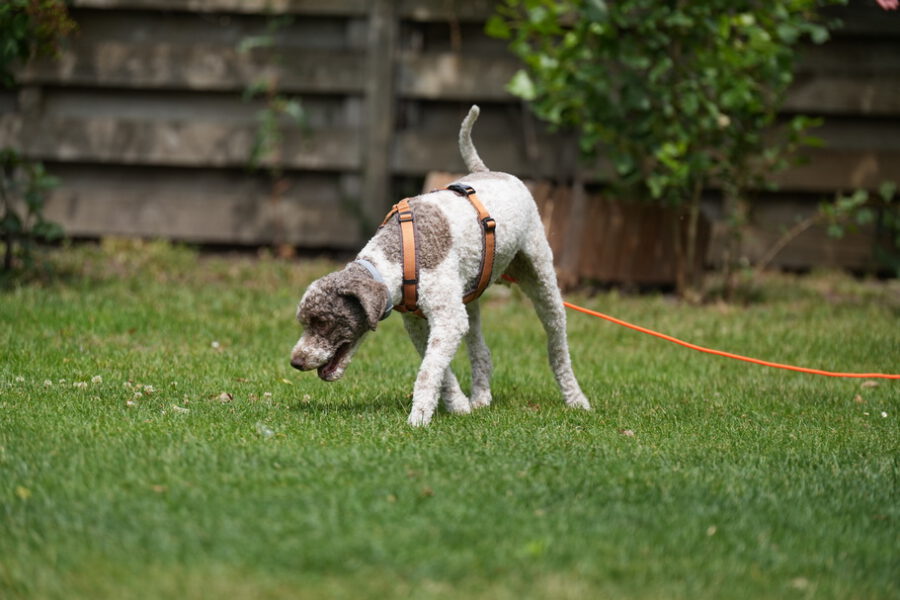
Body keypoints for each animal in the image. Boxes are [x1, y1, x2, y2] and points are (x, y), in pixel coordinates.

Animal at [290, 105, 592, 424]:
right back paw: (480, 399)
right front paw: (458, 406)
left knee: (558, 347)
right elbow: (438, 368)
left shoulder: (447, 318)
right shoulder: (421, 323)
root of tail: (489, 172)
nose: (295, 361)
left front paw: (419, 418)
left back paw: (576, 399)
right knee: (482, 352)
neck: (397, 258)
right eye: (305, 322)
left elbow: (428, 371)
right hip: (469, 298)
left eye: (322, 322)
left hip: (541, 278)